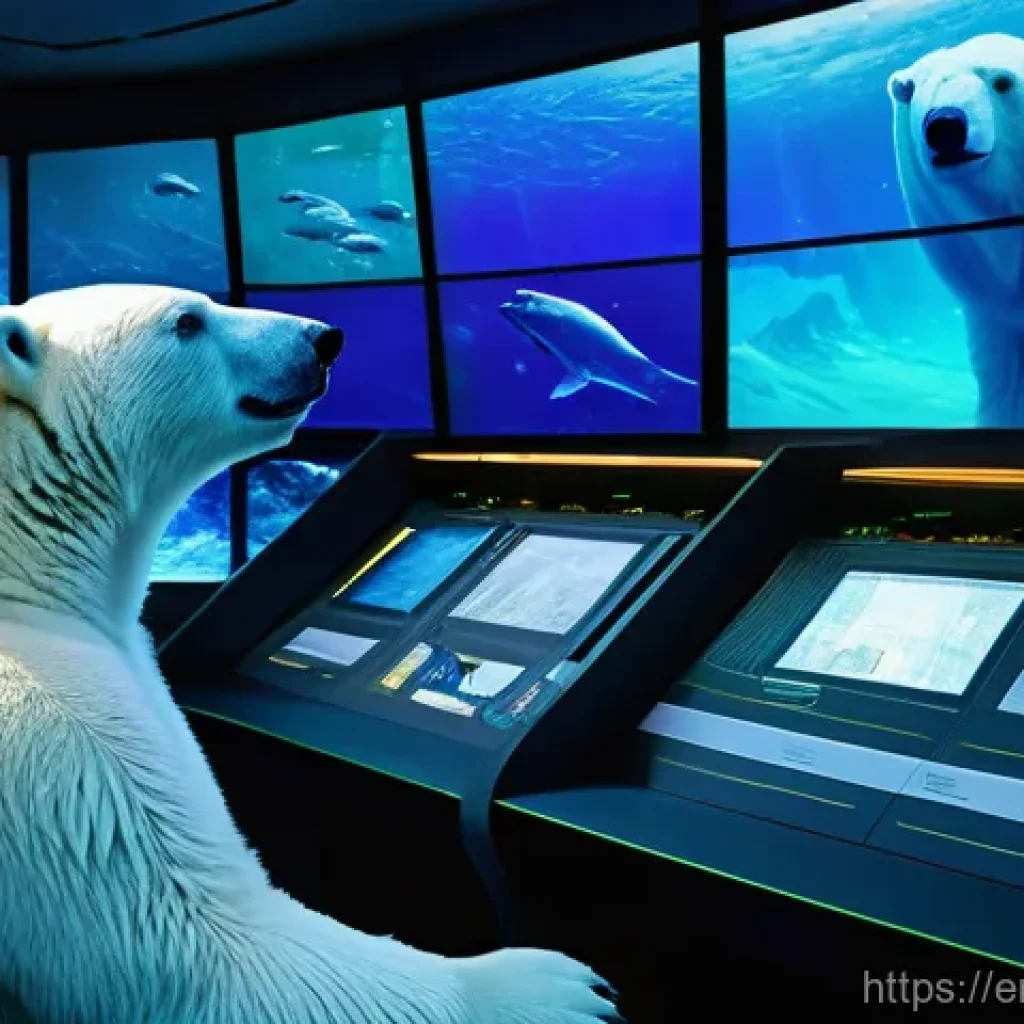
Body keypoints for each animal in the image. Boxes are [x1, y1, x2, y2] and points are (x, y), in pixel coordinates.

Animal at [0, 285, 619, 1024]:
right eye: (187, 320)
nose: (324, 338)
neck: (22, 561)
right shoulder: (56, 759)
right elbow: (198, 947)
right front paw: (546, 987)